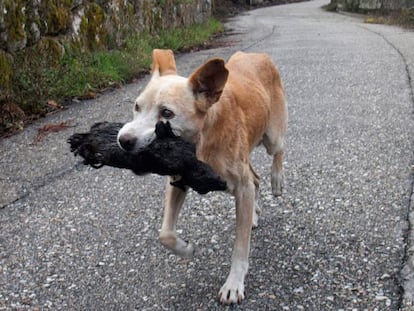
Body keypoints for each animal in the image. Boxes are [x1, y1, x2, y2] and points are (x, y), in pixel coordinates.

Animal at [116, 48, 286, 304]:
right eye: (137, 106)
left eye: (167, 113)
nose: (124, 140)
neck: (202, 141)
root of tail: (256, 54)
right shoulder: (177, 181)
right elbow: (165, 234)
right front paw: (186, 249)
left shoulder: (241, 186)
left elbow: (240, 247)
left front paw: (234, 283)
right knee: (255, 180)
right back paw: (254, 215)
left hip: (272, 136)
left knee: (278, 151)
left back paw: (276, 180)